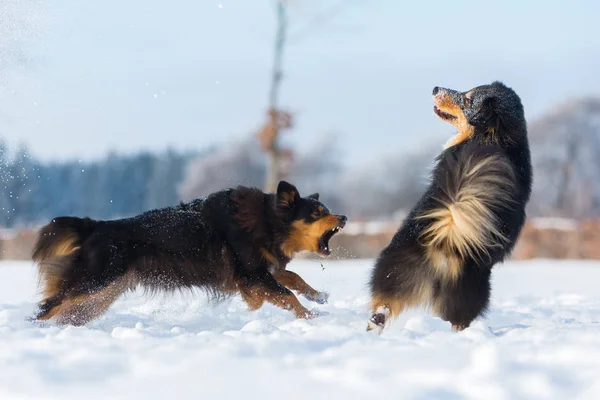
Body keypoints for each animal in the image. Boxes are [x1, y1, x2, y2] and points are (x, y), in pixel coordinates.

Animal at [31, 181, 346, 324]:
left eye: (327, 210)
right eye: (317, 213)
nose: (343, 217)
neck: (269, 222)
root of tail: (94, 226)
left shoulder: (259, 270)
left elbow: (292, 278)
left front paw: (317, 296)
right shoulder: (250, 275)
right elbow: (285, 292)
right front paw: (311, 316)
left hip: (103, 293)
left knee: (67, 312)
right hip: (95, 281)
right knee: (49, 305)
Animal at [368, 80, 532, 332]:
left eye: (467, 99)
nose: (435, 88)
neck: (499, 138)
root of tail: (447, 240)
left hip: (390, 268)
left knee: (378, 312)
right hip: (462, 296)